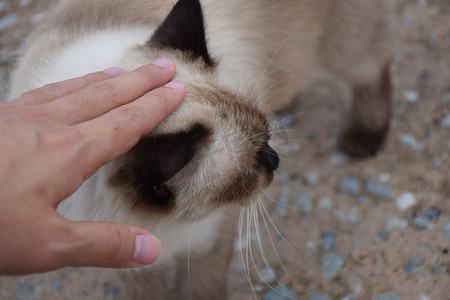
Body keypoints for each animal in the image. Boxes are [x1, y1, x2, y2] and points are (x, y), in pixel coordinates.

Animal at [6, 0, 394, 298]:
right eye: (251, 163)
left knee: (373, 71)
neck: (161, 229)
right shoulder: (134, 261)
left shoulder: (211, 241)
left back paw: (363, 138)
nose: (275, 158)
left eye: (264, 139)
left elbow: (201, 289)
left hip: (344, 46)